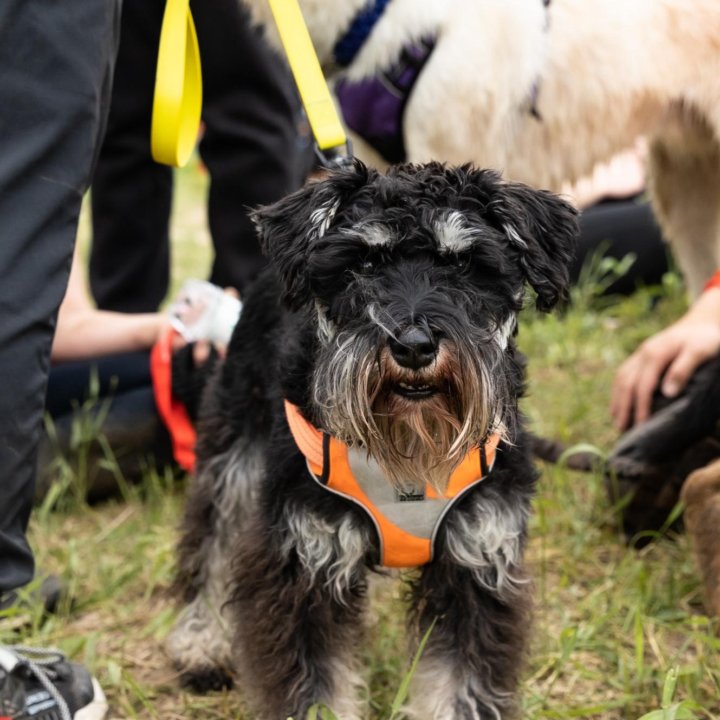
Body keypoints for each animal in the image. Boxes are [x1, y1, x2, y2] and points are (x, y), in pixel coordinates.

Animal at [166, 160, 576, 716]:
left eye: (466, 265)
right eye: (362, 263)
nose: (414, 345)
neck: (409, 451)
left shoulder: (477, 559)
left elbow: (458, 681)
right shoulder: (306, 560)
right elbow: (314, 686)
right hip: (235, 450)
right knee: (210, 539)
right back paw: (199, 643)